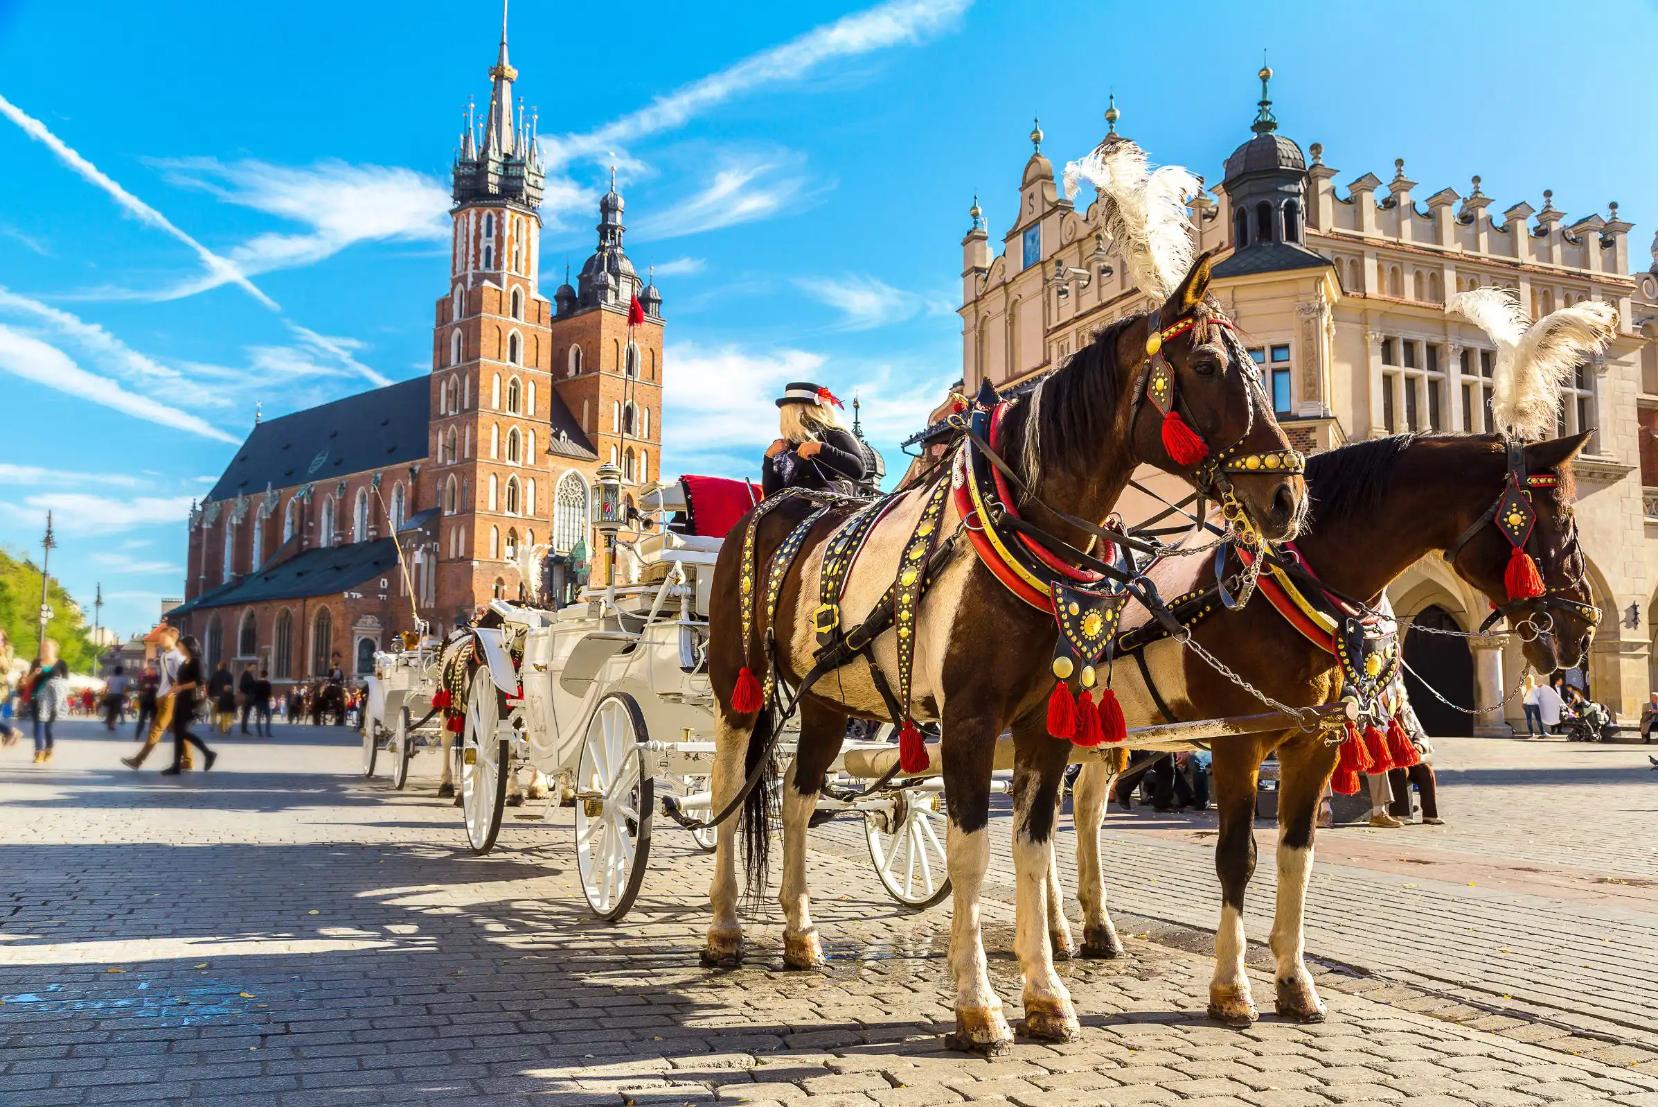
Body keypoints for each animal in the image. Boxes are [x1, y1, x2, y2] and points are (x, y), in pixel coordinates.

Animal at [702, 251, 1310, 1055]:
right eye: (1209, 364)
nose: (1289, 499)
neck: (1023, 528)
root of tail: (778, 506)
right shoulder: (968, 720)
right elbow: (972, 852)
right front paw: (978, 1004)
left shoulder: (1043, 724)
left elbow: (1032, 846)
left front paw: (1046, 994)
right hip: (736, 681)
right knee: (730, 788)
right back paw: (723, 929)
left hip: (829, 696)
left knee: (798, 797)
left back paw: (801, 936)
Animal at [1067, 430, 1598, 1026]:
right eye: (1562, 522)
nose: (1583, 629)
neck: (1283, 592)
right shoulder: (1237, 745)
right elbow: (1237, 858)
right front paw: (1231, 987)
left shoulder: (1314, 744)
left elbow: (1296, 854)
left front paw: (1295, 982)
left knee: (1082, 808)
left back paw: (1087, 930)